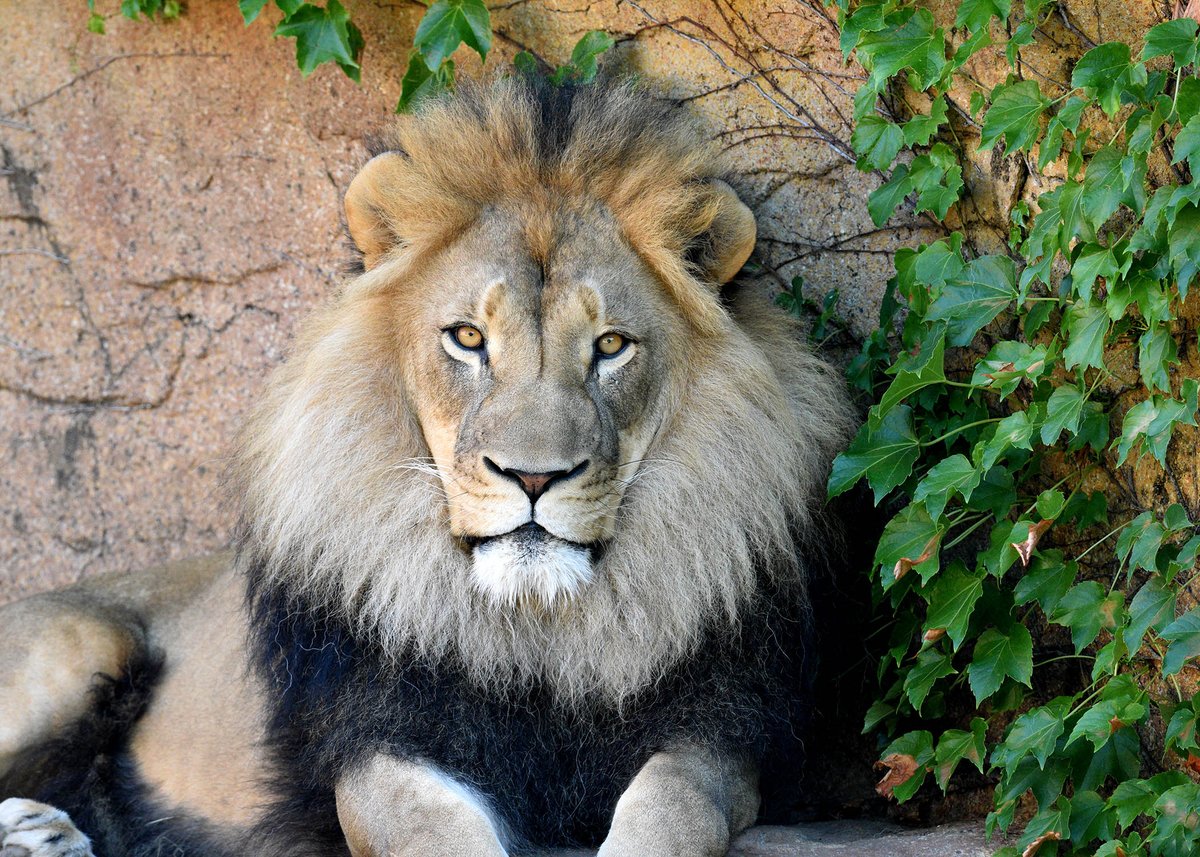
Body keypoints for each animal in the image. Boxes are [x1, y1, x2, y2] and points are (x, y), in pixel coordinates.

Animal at [0, 76, 854, 857]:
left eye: (611, 345)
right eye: (468, 338)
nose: (533, 477)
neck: (542, 631)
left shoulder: (718, 729)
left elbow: (675, 805)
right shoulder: (379, 739)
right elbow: (425, 825)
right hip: (82, 644)